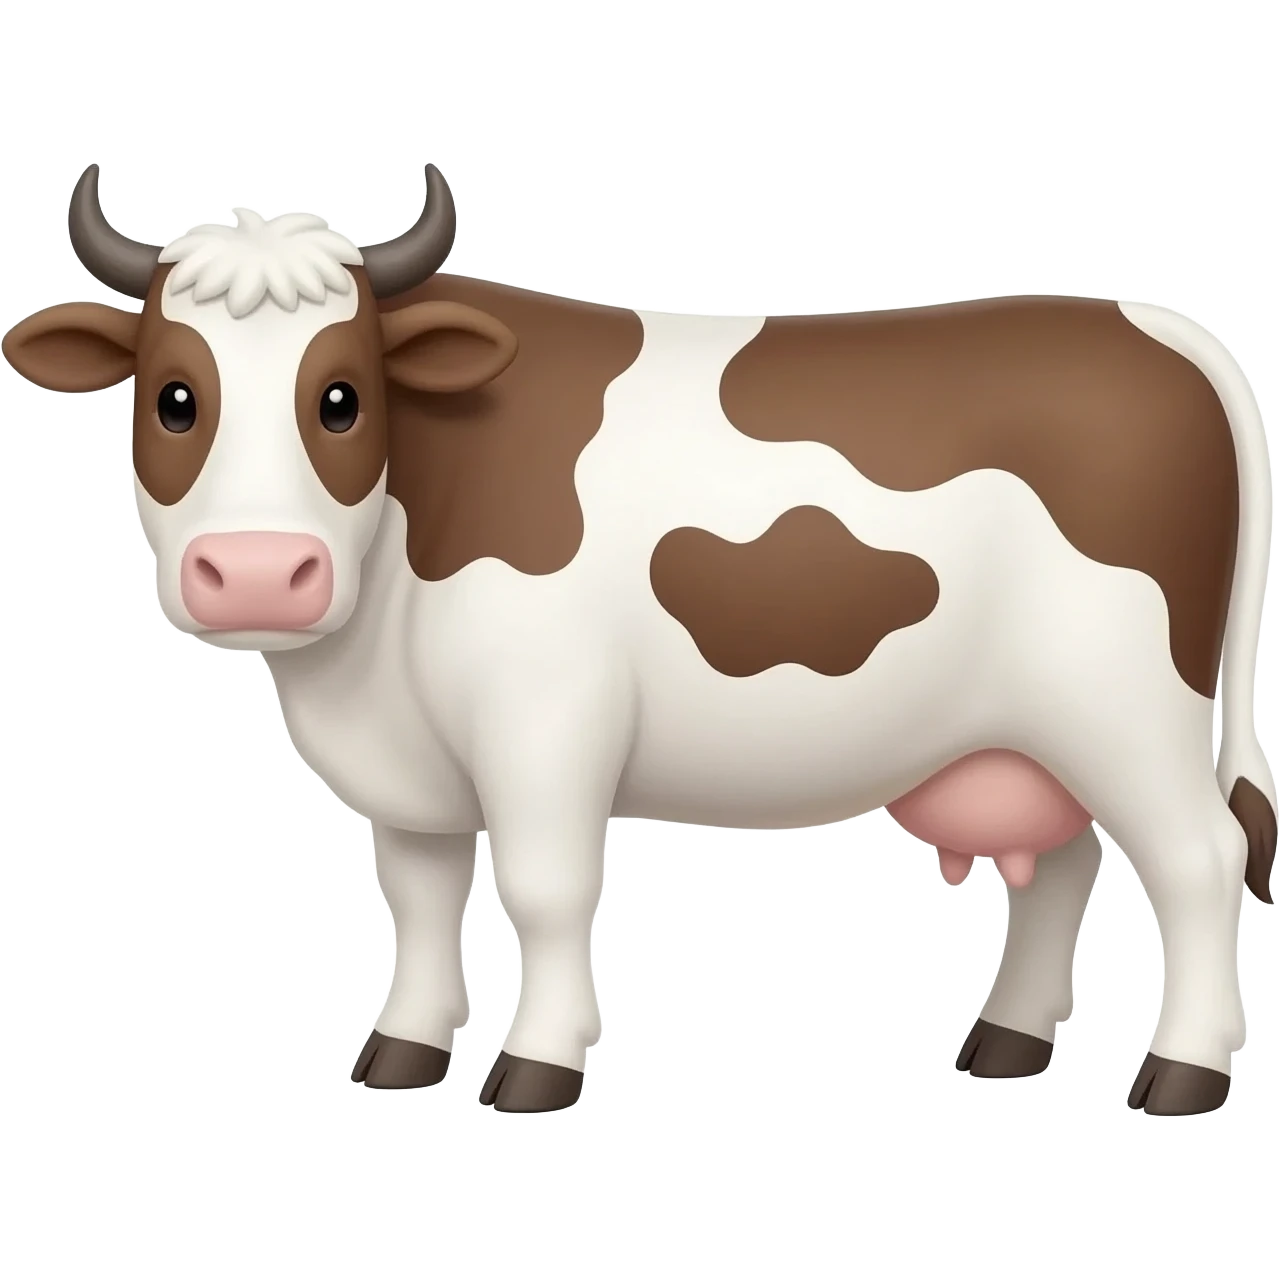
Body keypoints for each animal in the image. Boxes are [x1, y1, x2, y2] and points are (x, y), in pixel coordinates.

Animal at [3, 164, 1275, 1116]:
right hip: (1026, 726)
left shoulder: (546, 714)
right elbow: (417, 896)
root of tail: (1145, 323)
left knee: (1197, 860)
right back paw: (1007, 1041)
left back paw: (1180, 1070)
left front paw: (534, 1066)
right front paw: (403, 1052)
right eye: (172, 397)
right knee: (1064, 863)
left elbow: (545, 888)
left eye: (342, 399)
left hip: (1126, 704)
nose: (259, 572)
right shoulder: (413, 760)